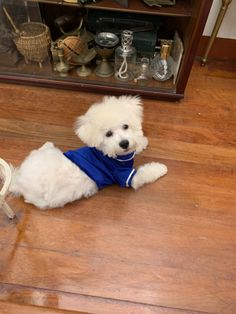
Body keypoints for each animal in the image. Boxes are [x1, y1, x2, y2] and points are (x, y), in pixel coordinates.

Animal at [9, 95, 168, 209]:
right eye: (108, 134)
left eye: (125, 126)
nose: (124, 143)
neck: (111, 155)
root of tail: (19, 179)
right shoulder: (126, 175)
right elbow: (145, 173)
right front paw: (160, 168)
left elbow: (135, 148)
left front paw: (142, 142)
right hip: (44, 201)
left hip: (45, 152)